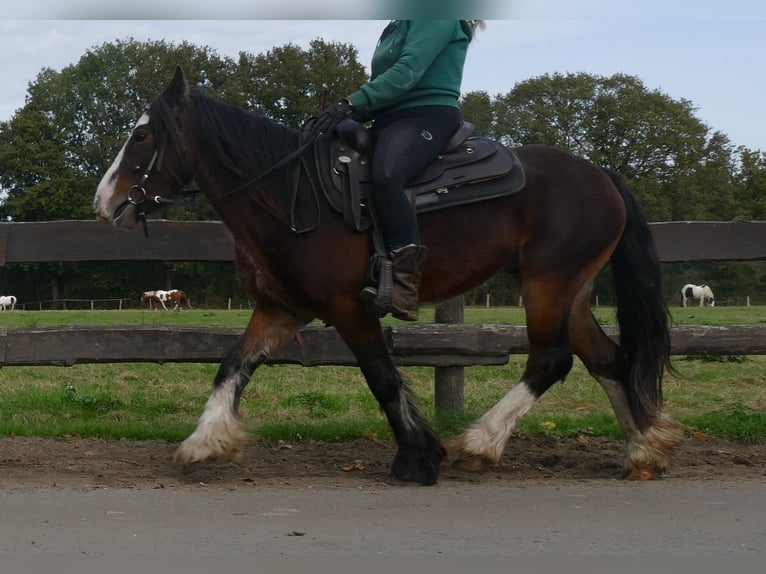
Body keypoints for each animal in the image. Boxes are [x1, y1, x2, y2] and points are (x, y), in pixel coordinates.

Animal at [91, 67, 684, 486]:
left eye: (142, 136)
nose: (105, 202)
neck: (290, 194)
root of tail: (601, 174)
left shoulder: (348, 307)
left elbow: (381, 376)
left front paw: (419, 457)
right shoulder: (282, 310)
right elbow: (232, 366)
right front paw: (204, 442)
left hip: (547, 284)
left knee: (551, 360)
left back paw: (482, 443)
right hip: (570, 290)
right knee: (609, 360)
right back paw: (643, 449)